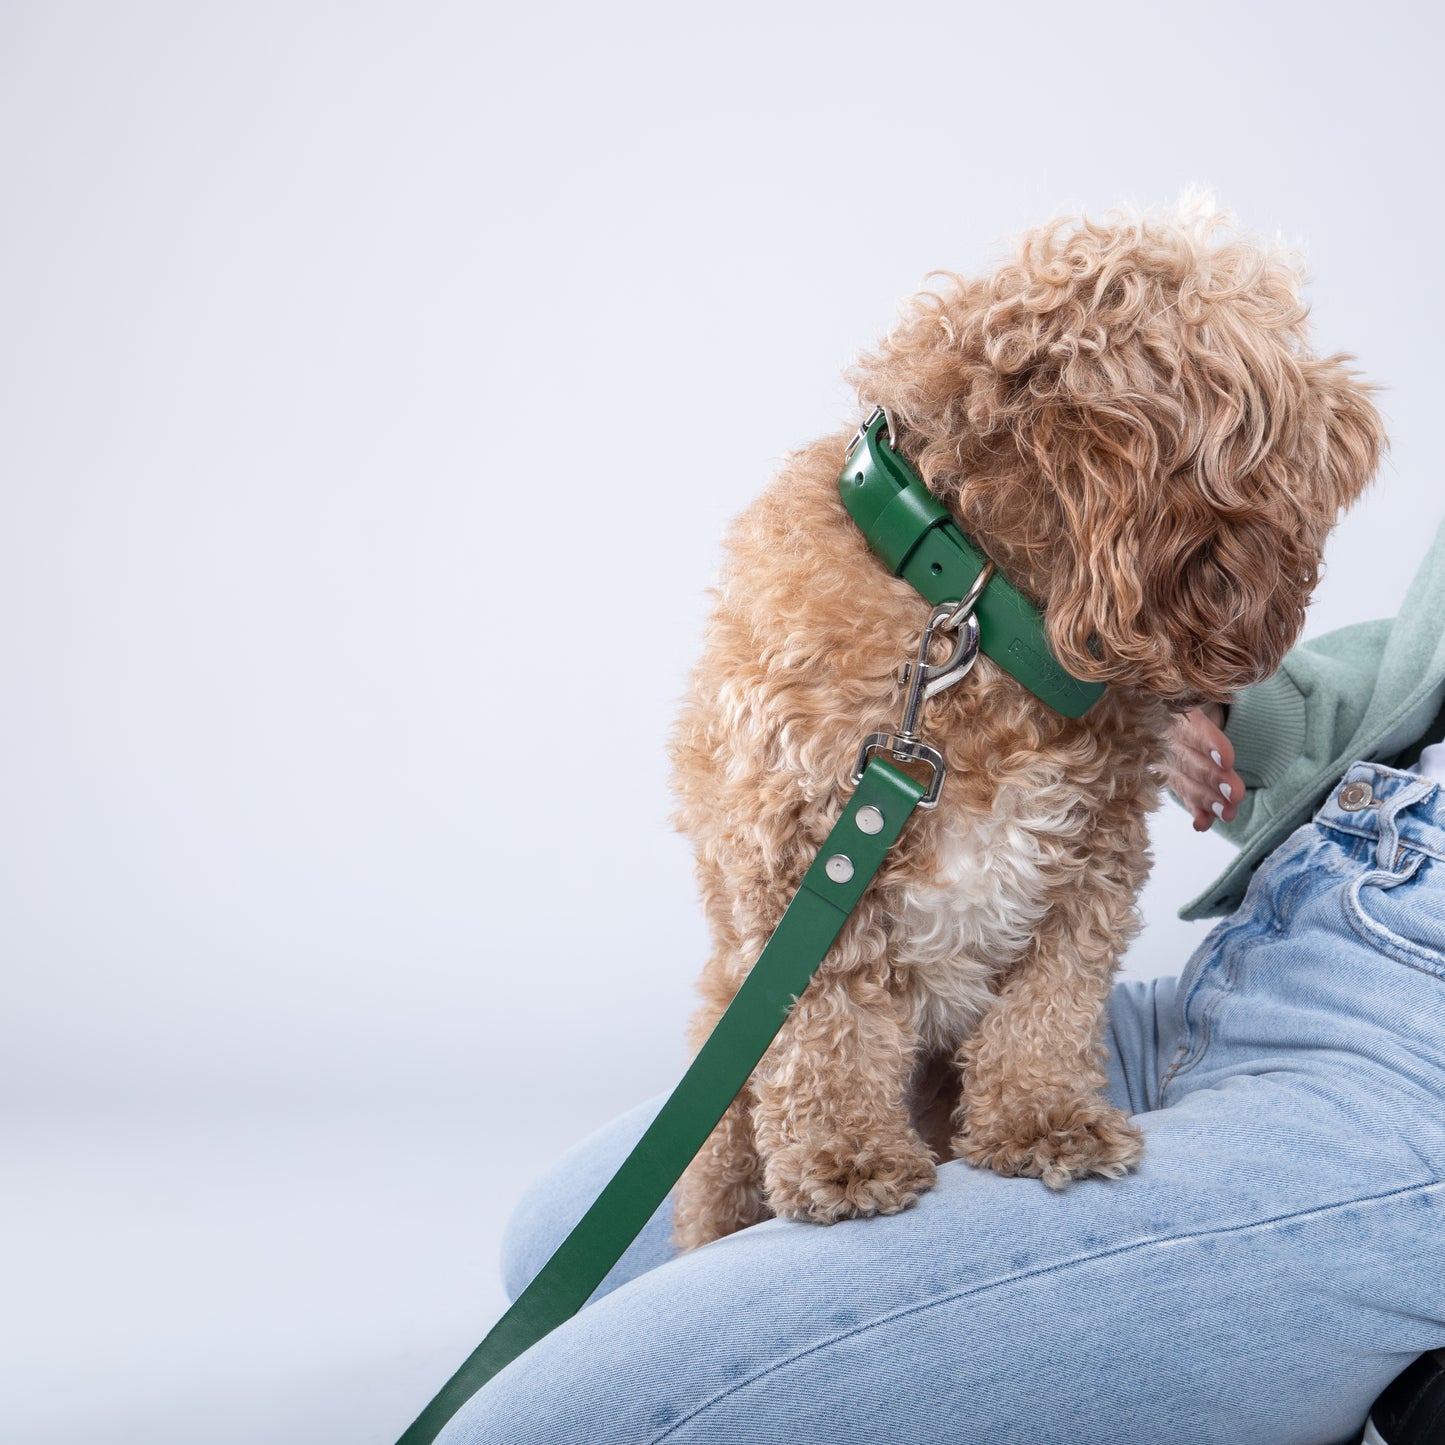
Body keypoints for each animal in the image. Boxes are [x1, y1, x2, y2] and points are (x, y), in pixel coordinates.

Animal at [670, 195, 1381, 1254]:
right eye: (1260, 322)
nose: (1361, 413)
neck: (973, 616)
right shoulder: (805, 864)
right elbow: (825, 1023)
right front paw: (845, 1155)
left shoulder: (1087, 869)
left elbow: (1048, 1008)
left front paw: (1041, 1118)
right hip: (720, 1076)